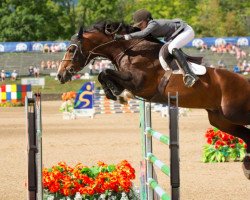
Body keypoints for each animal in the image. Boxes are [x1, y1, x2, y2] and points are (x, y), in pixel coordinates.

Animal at [56, 20, 250, 180]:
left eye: (71, 49)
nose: (60, 75)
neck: (130, 52)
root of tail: (244, 80)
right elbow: (103, 75)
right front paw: (116, 93)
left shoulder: (139, 82)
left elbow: (105, 72)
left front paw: (119, 94)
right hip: (220, 119)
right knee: (247, 135)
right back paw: (247, 165)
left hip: (233, 113)